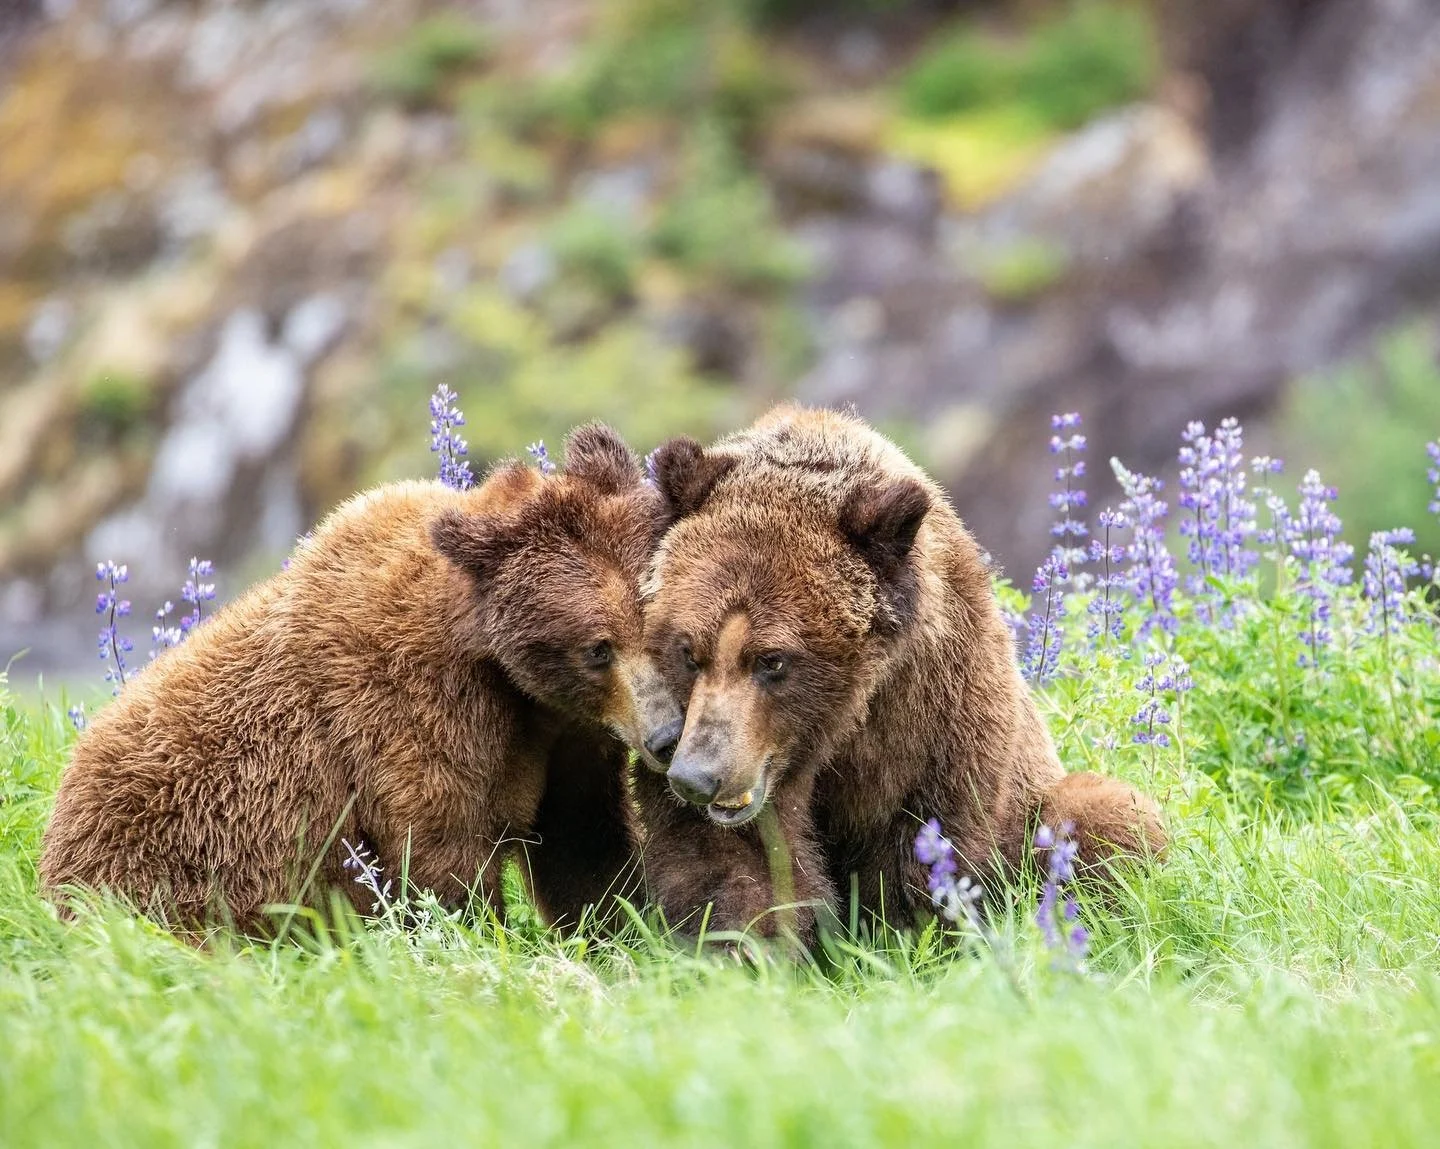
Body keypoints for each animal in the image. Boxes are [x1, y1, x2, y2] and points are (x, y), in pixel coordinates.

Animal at [39, 424, 682, 935]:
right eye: (598, 647)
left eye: (660, 628)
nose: (667, 737)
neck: (510, 679)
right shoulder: (411, 712)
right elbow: (439, 856)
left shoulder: (570, 737)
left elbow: (585, 844)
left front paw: (626, 931)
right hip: (161, 865)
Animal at [633, 404, 1164, 945]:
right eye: (689, 651)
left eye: (772, 659)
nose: (698, 777)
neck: (843, 721)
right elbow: (740, 862)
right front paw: (752, 943)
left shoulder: (935, 713)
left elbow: (923, 845)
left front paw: (907, 937)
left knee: (1101, 815)